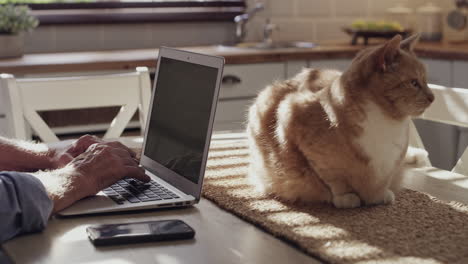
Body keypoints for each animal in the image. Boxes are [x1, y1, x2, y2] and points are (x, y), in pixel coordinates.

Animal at [247, 34, 434, 208]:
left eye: (426, 81)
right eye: (414, 83)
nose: (433, 97)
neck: (386, 123)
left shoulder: (392, 161)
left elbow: (384, 180)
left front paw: (380, 195)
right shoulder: (292, 116)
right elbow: (335, 180)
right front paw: (347, 197)